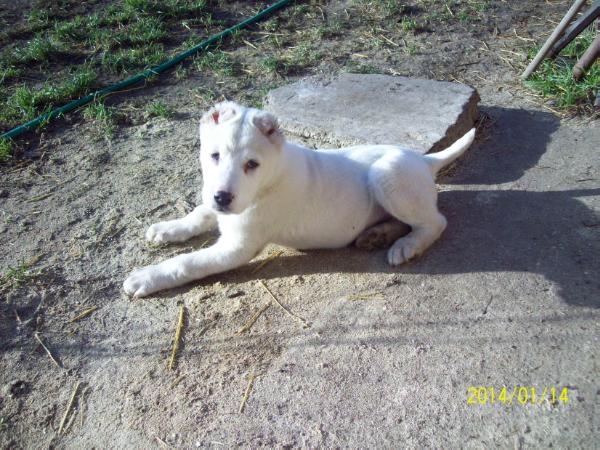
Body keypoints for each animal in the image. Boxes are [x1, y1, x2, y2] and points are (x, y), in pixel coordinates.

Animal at [124, 102, 476, 298]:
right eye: (214, 156)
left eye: (251, 165)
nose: (223, 197)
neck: (267, 181)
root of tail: (424, 159)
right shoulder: (219, 206)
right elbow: (199, 213)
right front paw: (168, 228)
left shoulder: (236, 247)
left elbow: (187, 262)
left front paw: (147, 277)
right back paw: (377, 235)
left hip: (387, 173)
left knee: (435, 222)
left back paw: (406, 245)